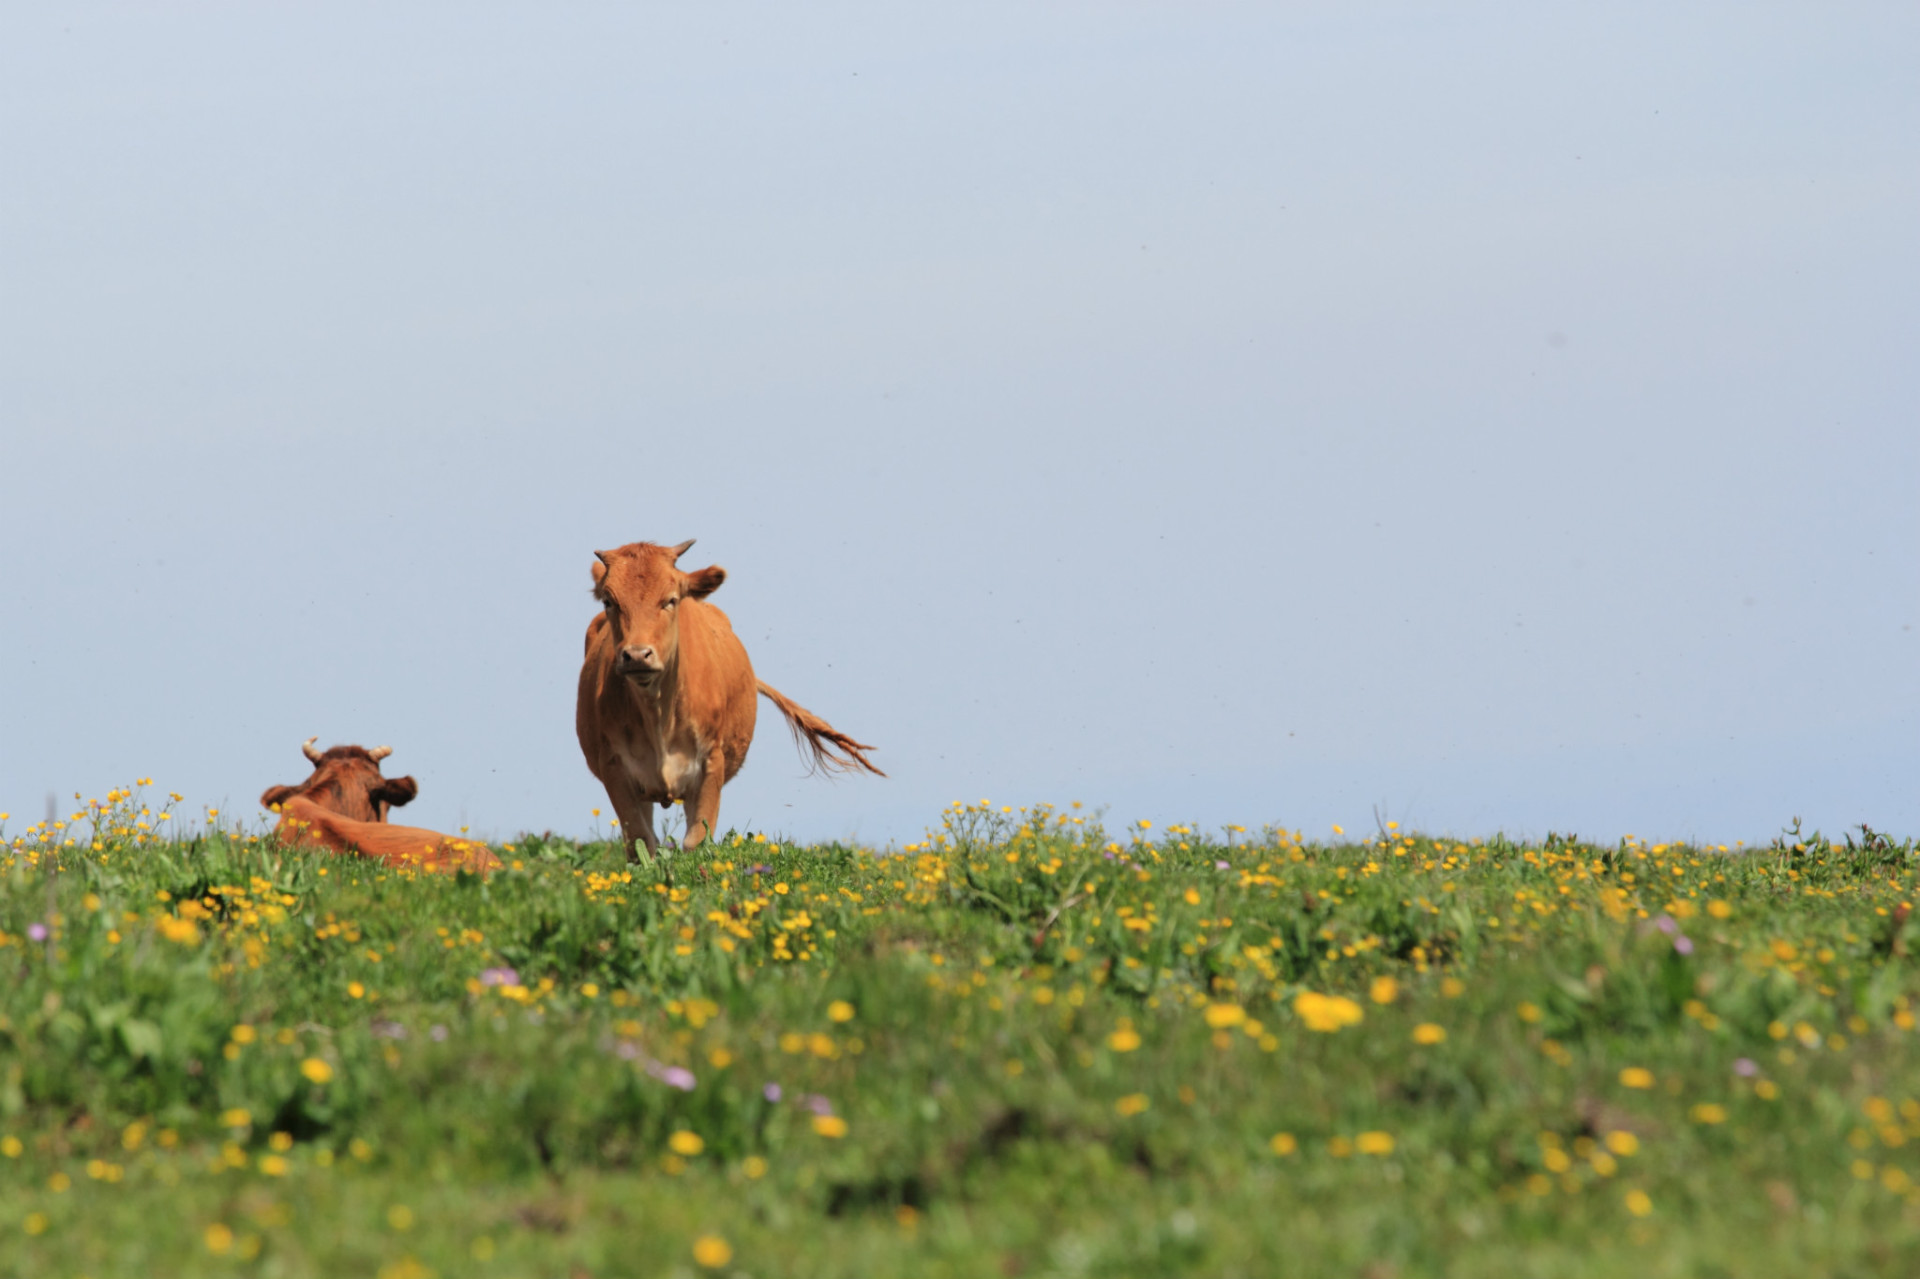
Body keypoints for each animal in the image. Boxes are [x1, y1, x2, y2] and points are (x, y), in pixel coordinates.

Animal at [576, 533, 883, 856]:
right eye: (609, 601)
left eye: (670, 599)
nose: (636, 655)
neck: (658, 714)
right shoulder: (614, 768)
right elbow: (640, 842)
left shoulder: (711, 763)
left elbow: (696, 841)